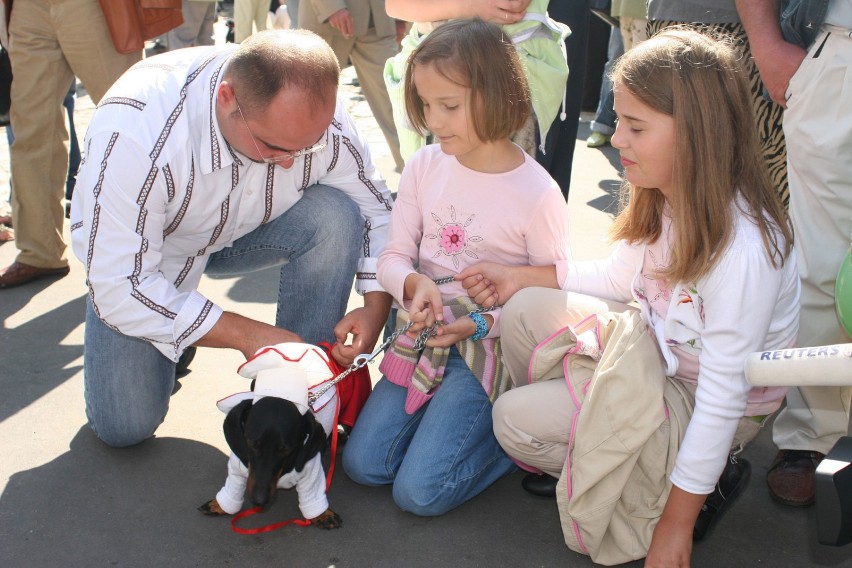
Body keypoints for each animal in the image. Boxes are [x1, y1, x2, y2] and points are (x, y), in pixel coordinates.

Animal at [200, 342, 342, 528]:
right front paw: (219, 505)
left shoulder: (310, 470)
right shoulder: (238, 467)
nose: (259, 500)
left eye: (286, 450)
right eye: (252, 443)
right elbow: (233, 489)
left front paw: (323, 514)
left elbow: (313, 497)